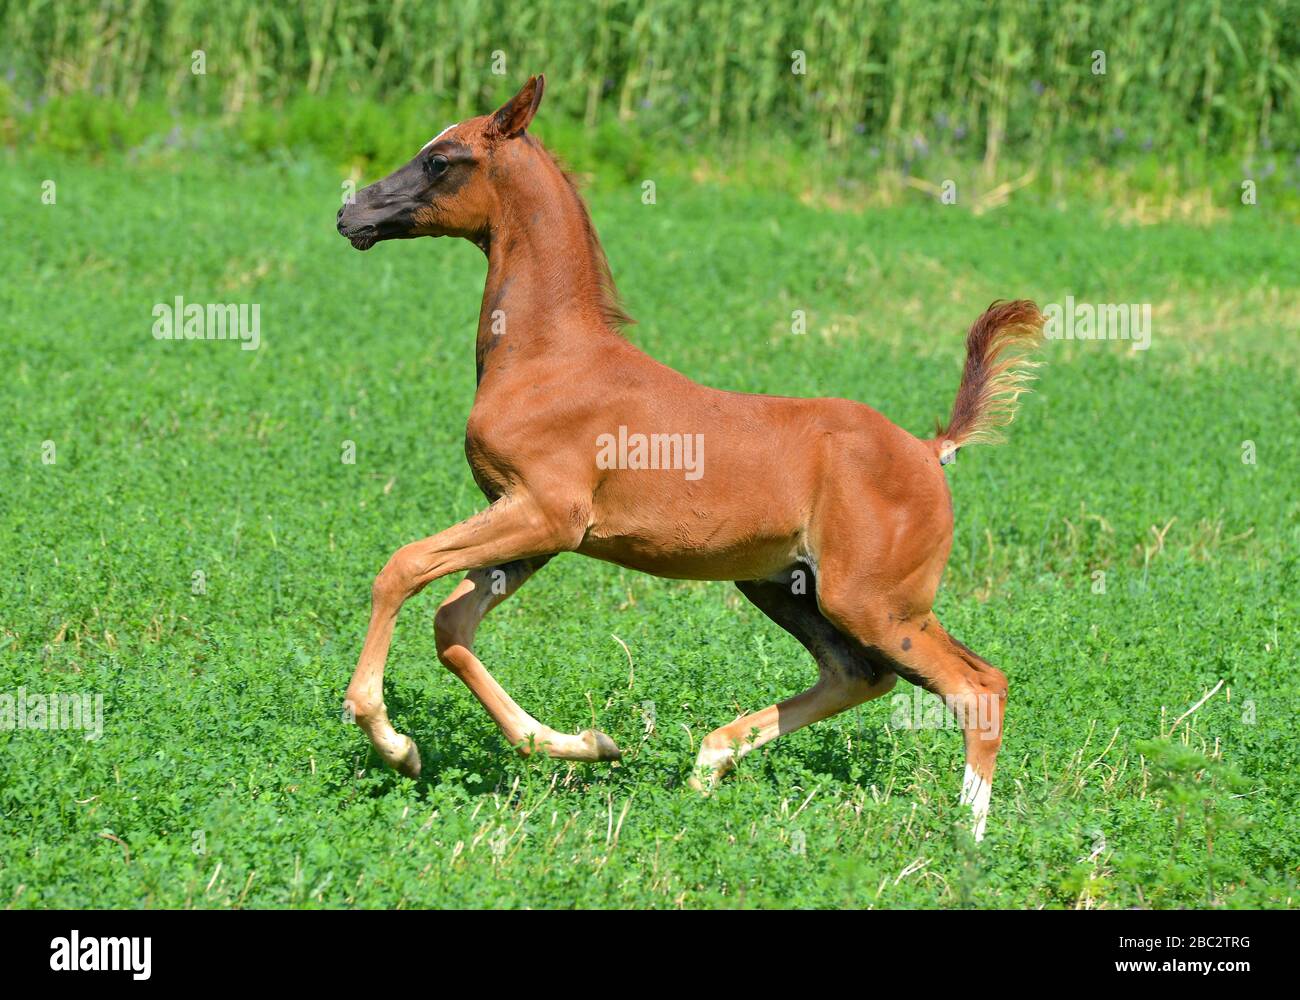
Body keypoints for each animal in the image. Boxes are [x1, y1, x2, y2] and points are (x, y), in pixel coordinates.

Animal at [336, 75, 1043, 841]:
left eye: (440, 159)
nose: (351, 213)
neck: (548, 357)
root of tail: (929, 448)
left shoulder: (546, 515)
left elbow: (401, 567)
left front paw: (391, 741)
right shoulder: (532, 529)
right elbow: (452, 625)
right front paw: (585, 744)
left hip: (877, 603)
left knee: (978, 685)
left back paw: (966, 836)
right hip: (784, 587)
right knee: (858, 675)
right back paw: (708, 764)